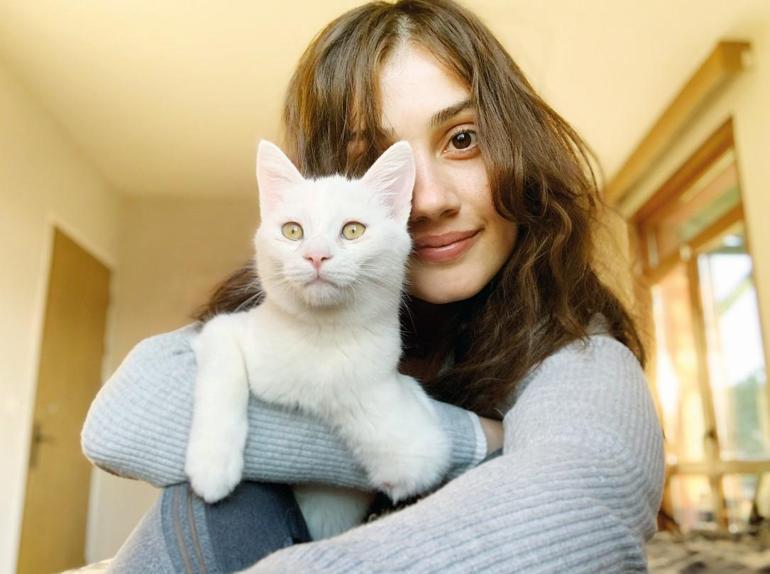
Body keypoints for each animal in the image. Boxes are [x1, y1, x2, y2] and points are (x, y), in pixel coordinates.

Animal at [184, 139, 451, 540]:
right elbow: (223, 374)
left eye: (353, 231)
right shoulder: (224, 329)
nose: (316, 255)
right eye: (293, 232)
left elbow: (414, 455)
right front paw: (212, 462)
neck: (321, 332)